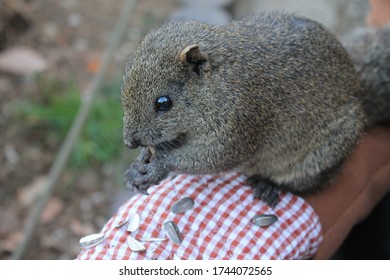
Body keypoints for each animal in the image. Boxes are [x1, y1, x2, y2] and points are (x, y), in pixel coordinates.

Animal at [122, 12, 390, 207]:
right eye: (124, 83)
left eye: (164, 102)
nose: (130, 142)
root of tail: (359, 90)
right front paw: (137, 165)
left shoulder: (241, 120)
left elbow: (216, 157)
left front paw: (159, 166)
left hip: (323, 156)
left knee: (307, 184)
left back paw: (268, 185)